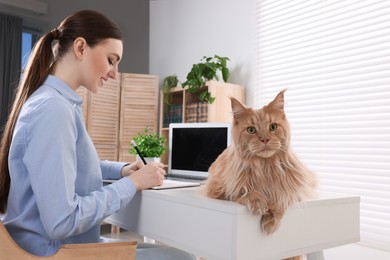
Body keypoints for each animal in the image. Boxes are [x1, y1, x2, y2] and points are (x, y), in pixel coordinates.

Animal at [204, 90, 316, 238]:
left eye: (273, 127)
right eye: (251, 130)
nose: (265, 139)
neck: (265, 167)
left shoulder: (296, 189)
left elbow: (282, 196)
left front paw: (270, 221)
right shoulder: (219, 190)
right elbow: (242, 192)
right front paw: (258, 202)